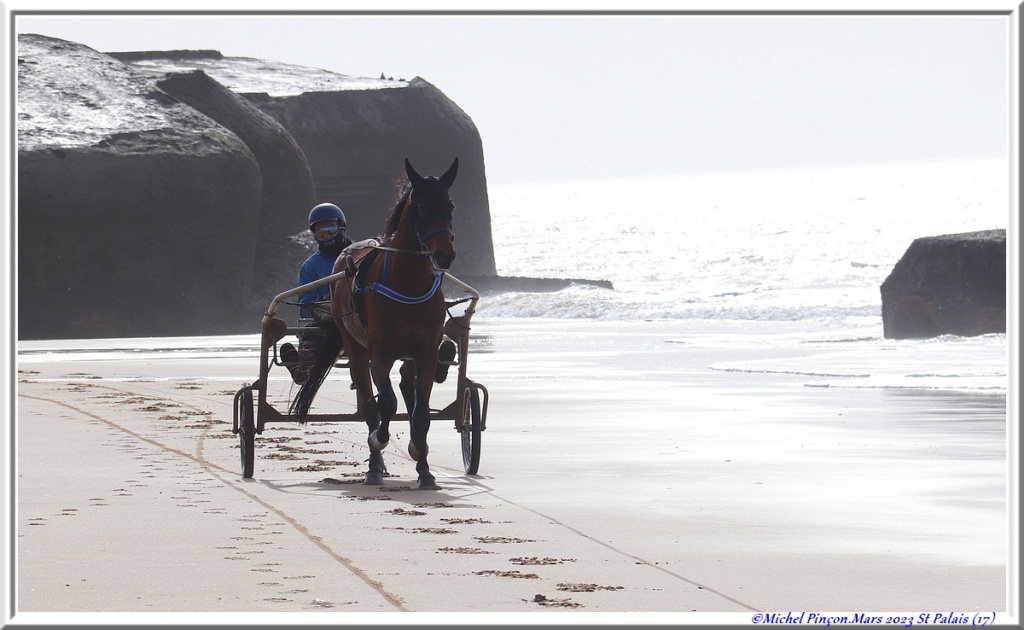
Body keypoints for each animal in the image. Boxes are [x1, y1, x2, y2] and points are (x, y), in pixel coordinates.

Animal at [292, 157, 460, 493]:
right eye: (422, 206)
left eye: (449, 205)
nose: (444, 254)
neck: (408, 284)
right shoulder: (379, 354)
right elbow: (386, 405)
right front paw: (379, 444)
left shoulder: (426, 353)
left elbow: (421, 413)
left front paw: (424, 469)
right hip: (356, 348)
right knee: (373, 405)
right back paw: (374, 466)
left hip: (409, 356)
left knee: (406, 386)